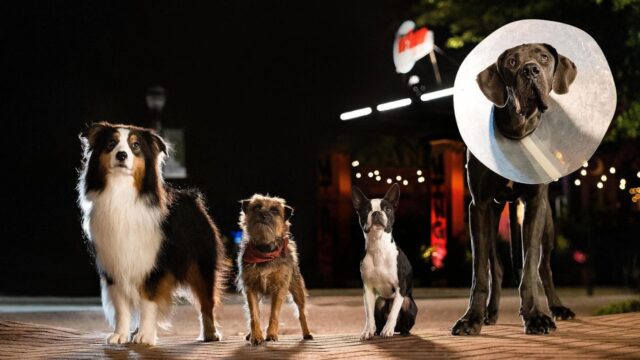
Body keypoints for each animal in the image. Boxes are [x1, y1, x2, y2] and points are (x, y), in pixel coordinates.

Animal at [78, 123, 225, 346]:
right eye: (111, 143)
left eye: (135, 146)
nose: (121, 155)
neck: (122, 194)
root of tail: (193, 198)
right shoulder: (114, 263)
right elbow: (122, 306)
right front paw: (120, 334)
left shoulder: (154, 265)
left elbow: (149, 301)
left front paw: (145, 336)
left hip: (201, 264)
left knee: (206, 300)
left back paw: (210, 333)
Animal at [236, 194, 314, 346]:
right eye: (257, 207)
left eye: (275, 210)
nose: (263, 214)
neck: (264, 251)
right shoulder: (250, 289)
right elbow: (254, 315)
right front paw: (256, 335)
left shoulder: (280, 288)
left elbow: (274, 314)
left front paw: (271, 334)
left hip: (297, 291)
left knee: (301, 313)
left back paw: (307, 333)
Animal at [350, 183, 420, 340]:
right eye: (366, 210)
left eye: (387, 209)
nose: (376, 213)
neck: (378, 247)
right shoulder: (368, 289)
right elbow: (369, 315)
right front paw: (368, 331)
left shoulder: (401, 288)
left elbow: (393, 312)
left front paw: (388, 330)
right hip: (380, 301)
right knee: (378, 311)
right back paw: (376, 330)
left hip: (408, 302)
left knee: (402, 320)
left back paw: (402, 331)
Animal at [450, 44, 580, 334]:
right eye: (510, 62)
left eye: (543, 58)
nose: (530, 70)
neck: (517, 130)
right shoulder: (479, 205)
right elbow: (480, 272)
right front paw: (471, 318)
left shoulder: (535, 203)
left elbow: (530, 265)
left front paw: (535, 316)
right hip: (492, 215)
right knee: (495, 267)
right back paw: (490, 313)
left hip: (548, 222)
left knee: (543, 267)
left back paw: (557, 307)